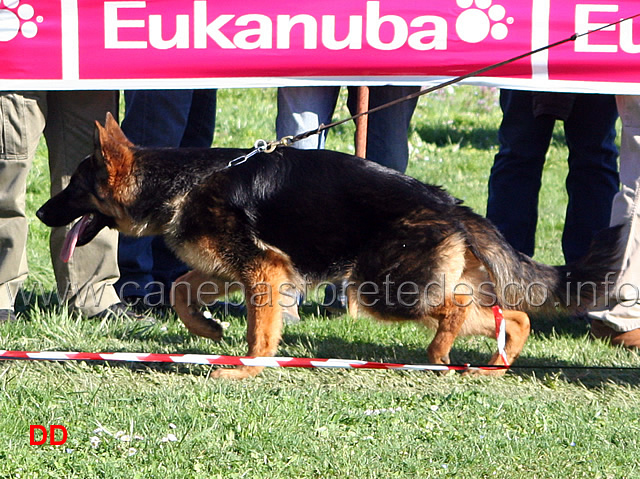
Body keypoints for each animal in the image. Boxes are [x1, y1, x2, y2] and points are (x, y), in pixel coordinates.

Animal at [36, 114, 620, 380]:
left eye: (73, 188)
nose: (41, 213)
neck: (178, 181)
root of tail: (449, 202)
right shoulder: (229, 268)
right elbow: (181, 290)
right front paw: (209, 330)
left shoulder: (263, 270)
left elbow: (259, 329)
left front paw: (247, 365)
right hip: (399, 285)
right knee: (510, 316)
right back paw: (497, 360)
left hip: (382, 288)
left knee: (457, 311)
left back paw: (438, 355)